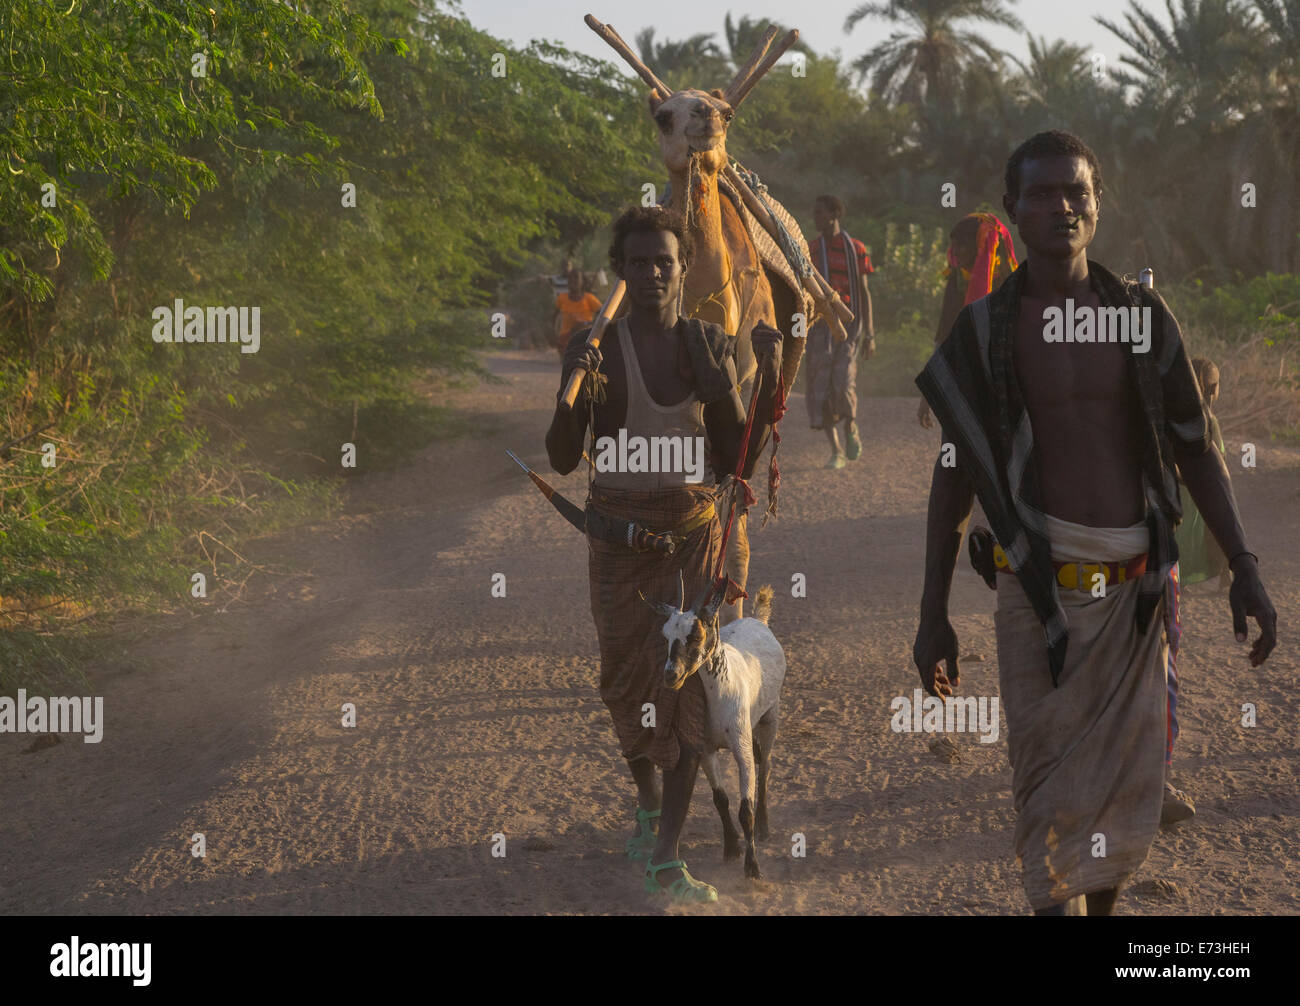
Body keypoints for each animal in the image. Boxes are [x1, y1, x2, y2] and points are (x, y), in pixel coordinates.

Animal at [639, 574, 780, 883]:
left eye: (695, 635)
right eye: (666, 636)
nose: (671, 675)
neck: (721, 692)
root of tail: (758, 620)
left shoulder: (741, 749)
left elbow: (745, 809)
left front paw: (752, 866)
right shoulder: (706, 749)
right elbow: (720, 799)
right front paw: (731, 848)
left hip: (770, 717)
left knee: (765, 768)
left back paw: (765, 828)